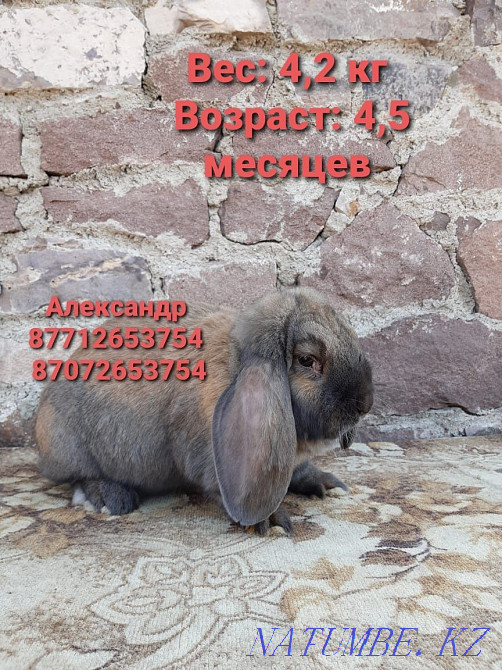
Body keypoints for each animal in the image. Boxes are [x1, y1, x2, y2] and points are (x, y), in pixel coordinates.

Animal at [36, 287, 373, 535]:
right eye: (307, 360)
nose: (365, 403)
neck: (237, 363)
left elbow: (298, 471)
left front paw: (327, 484)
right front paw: (272, 520)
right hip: (69, 446)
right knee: (78, 478)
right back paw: (110, 499)